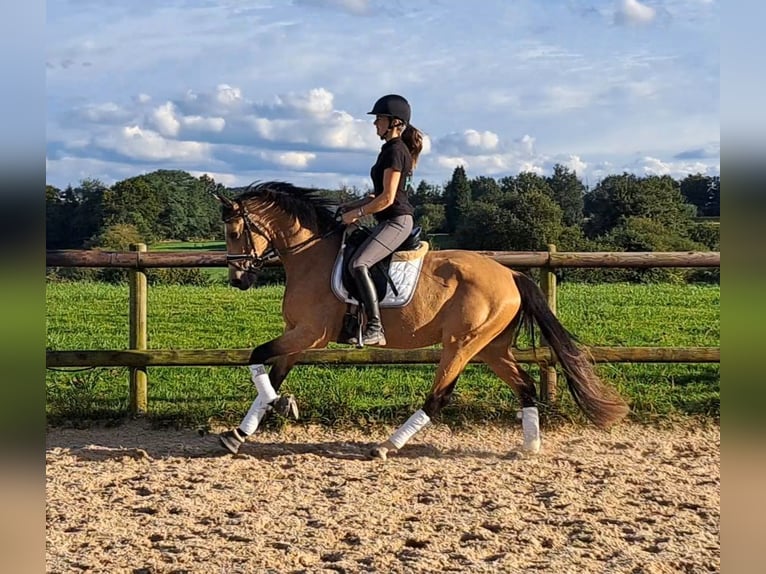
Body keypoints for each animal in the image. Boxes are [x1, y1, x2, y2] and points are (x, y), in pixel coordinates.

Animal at [214, 182, 632, 462]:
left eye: (234, 232)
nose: (239, 280)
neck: (311, 256)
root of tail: (511, 274)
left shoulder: (311, 334)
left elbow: (257, 357)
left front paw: (280, 406)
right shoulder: (296, 334)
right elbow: (272, 372)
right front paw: (241, 432)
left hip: (462, 344)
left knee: (439, 396)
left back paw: (386, 446)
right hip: (492, 348)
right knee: (526, 387)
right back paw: (529, 447)